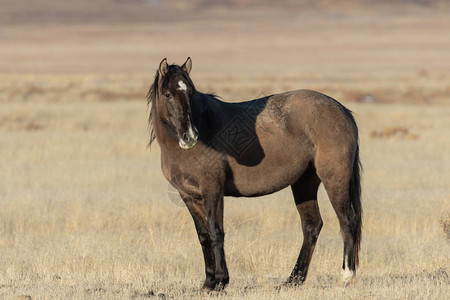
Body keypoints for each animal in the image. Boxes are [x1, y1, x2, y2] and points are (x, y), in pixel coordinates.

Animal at [148, 56, 362, 290]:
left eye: (191, 93)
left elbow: (216, 232)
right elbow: (203, 236)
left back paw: (345, 277)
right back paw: (293, 280)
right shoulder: (188, 195)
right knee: (312, 226)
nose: (190, 136)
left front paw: (221, 281)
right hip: (304, 184)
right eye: (168, 94)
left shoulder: (212, 190)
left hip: (335, 180)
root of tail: (343, 111)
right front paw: (208, 282)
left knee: (347, 222)